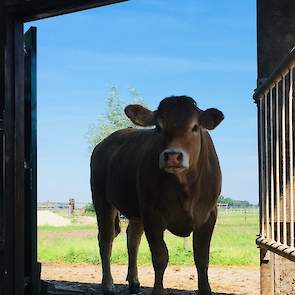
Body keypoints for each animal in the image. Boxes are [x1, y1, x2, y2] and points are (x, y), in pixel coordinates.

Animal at [91, 96, 224, 295]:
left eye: (195, 127)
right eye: (159, 127)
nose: (173, 156)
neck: (185, 188)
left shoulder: (208, 215)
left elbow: (201, 258)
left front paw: (205, 290)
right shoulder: (152, 215)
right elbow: (160, 257)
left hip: (135, 210)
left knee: (132, 239)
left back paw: (134, 281)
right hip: (102, 200)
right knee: (106, 239)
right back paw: (108, 284)